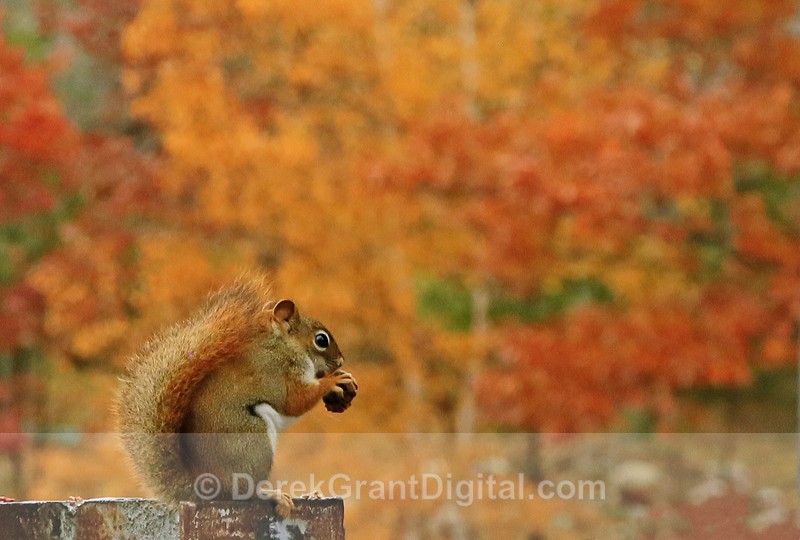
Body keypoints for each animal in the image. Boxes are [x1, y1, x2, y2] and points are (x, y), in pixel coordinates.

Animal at [115, 274, 357, 517]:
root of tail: (205, 488)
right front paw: (332, 381)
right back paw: (271, 494)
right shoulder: (276, 372)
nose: (341, 361)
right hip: (252, 440)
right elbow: (294, 400)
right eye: (321, 340)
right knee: (243, 492)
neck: (284, 345)